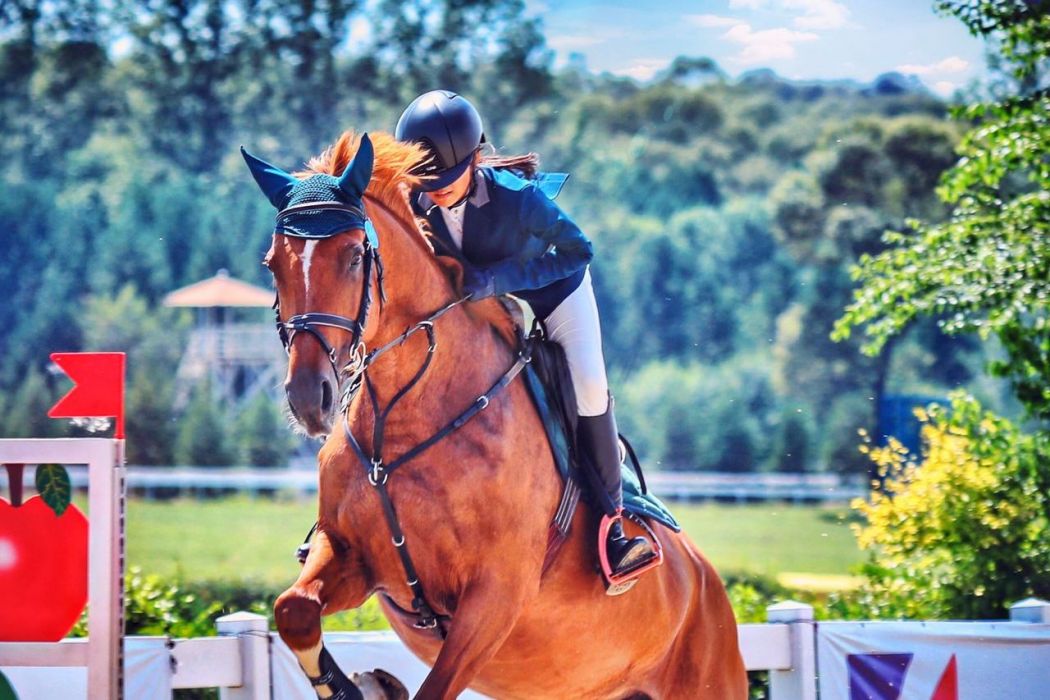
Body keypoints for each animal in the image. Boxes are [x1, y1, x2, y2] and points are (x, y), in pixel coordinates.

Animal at [244, 128, 747, 696]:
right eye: (272, 264)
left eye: (354, 257)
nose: (311, 398)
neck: (403, 422)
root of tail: (707, 584)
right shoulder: (353, 556)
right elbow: (295, 610)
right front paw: (362, 686)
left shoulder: (492, 600)